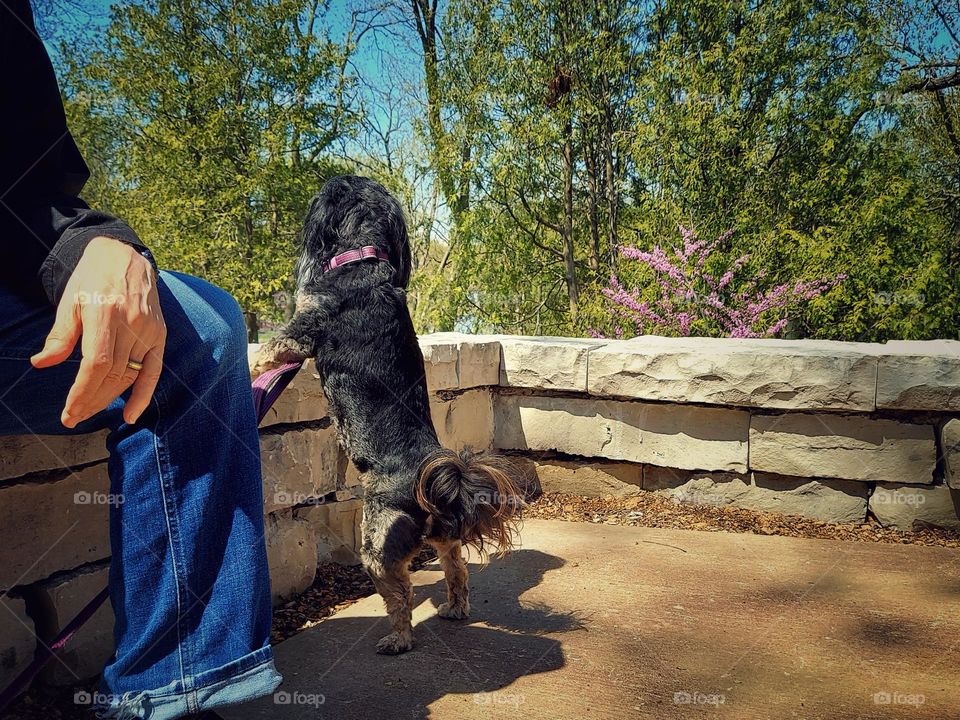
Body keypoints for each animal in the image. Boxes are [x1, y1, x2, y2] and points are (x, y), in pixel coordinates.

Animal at [251, 174, 528, 652]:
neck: (362, 259)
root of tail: (435, 483)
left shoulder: (299, 333)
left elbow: (264, 354)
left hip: (377, 541)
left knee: (402, 593)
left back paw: (399, 638)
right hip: (438, 538)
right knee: (456, 567)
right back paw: (455, 608)